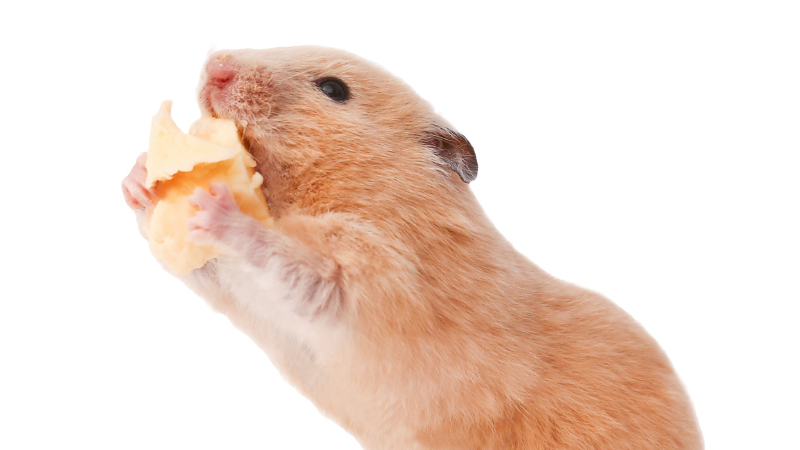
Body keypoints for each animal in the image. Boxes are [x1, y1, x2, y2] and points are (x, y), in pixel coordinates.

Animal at [122, 46, 702, 449]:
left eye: (333, 87)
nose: (214, 65)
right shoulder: (247, 298)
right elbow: (207, 267)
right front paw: (141, 178)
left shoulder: (372, 271)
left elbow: (291, 260)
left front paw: (218, 205)